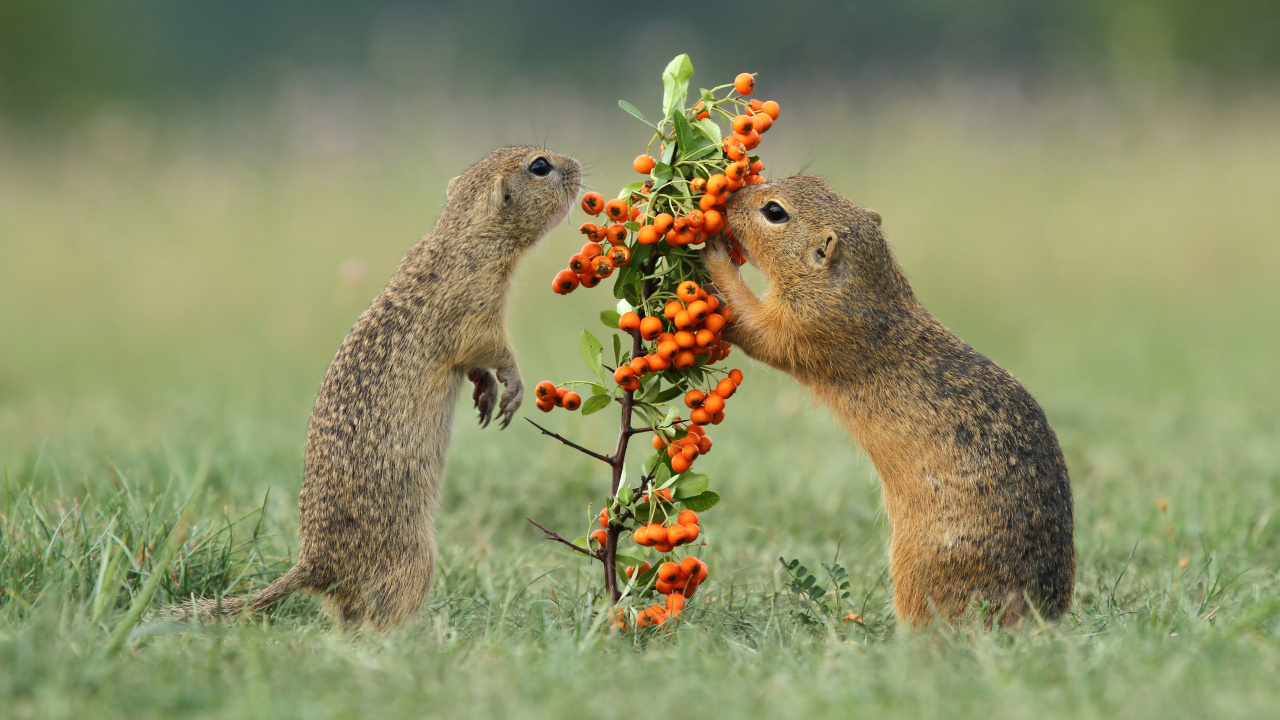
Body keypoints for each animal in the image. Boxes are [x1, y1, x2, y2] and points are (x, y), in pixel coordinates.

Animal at [166, 147, 581, 630]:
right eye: (540, 166)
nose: (578, 167)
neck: (464, 235)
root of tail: (314, 566)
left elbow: (475, 366)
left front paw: (485, 393)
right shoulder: (477, 307)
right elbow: (493, 349)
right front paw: (512, 389)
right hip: (415, 562)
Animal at [702, 175, 1074, 627]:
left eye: (775, 212)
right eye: (812, 179)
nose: (729, 198)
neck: (865, 288)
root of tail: (1039, 615)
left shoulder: (805, 325)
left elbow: (751, 322)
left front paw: (712, 256)